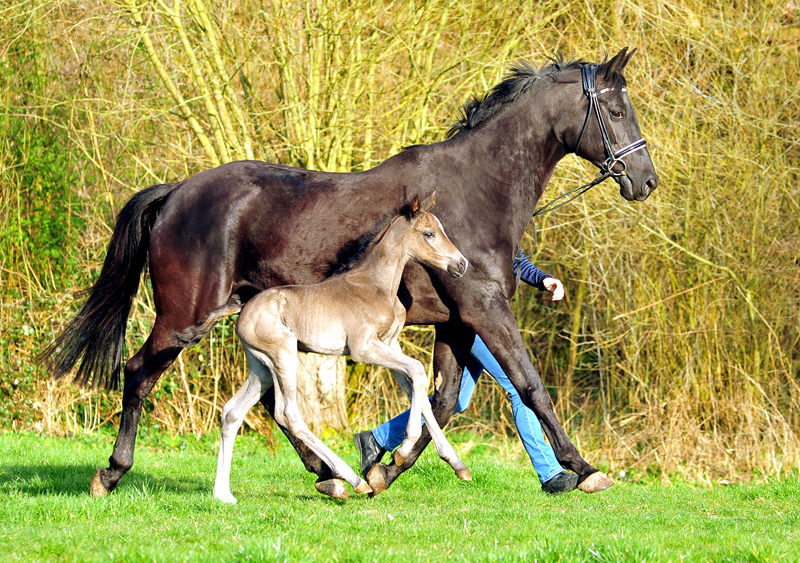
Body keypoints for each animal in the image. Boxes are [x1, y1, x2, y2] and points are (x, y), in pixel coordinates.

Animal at [180, 195, 468, 502]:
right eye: (429, 233)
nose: (461, 264)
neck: (377, 287)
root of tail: (243, 308)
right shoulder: (364, 348)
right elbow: (417, 370)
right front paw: (403, 451)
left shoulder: (390, 343)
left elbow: (417, 387)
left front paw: (456, 464)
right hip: (284, 355)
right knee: (288, 414)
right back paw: (353, 480)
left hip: (261, 367)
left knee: (232, 412)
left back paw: (223, 494)